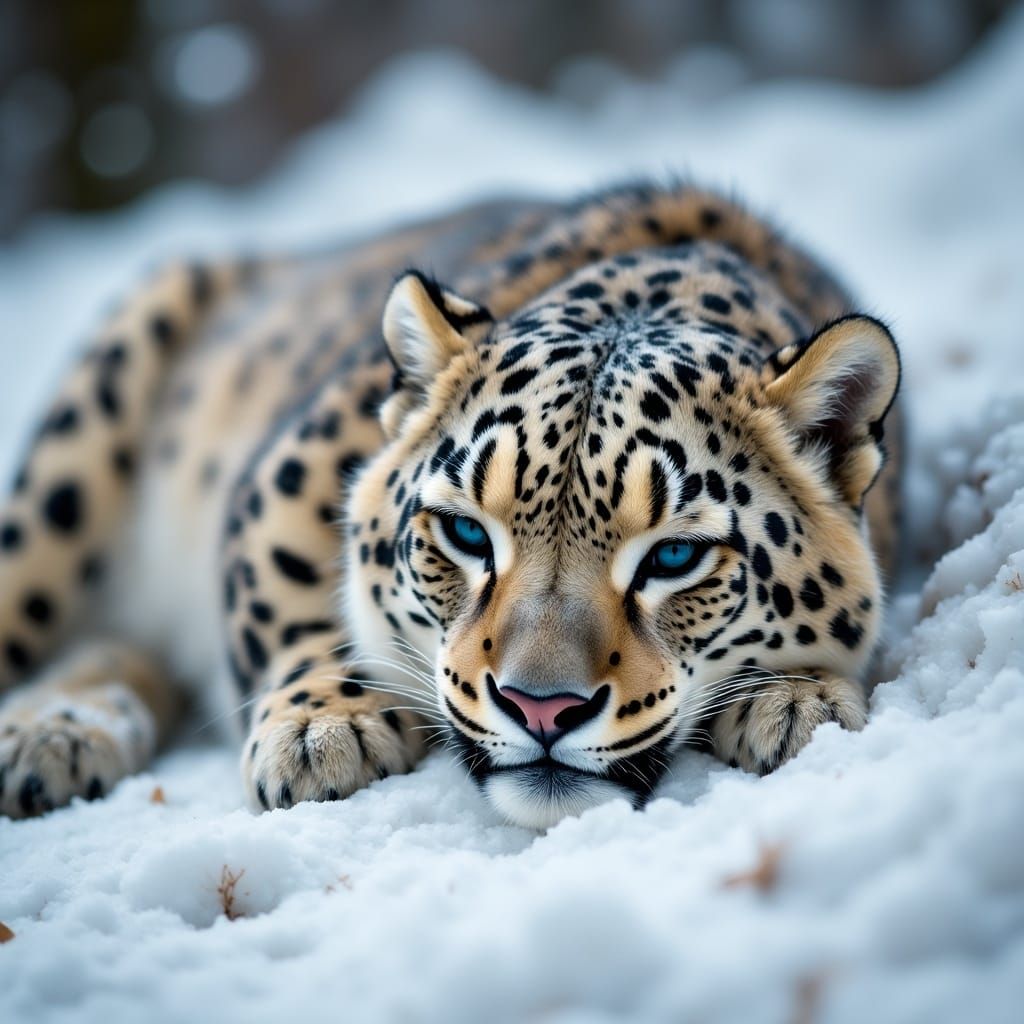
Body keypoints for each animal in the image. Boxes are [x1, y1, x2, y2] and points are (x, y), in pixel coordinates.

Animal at [0, 182, 901, 829]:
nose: (543, 708)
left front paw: (796, 700)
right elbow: (280, 598)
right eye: (467, 533)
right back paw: (50, 735)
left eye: (675, 556)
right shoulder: (285, 472)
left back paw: (64, 730)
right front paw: (324, 733)